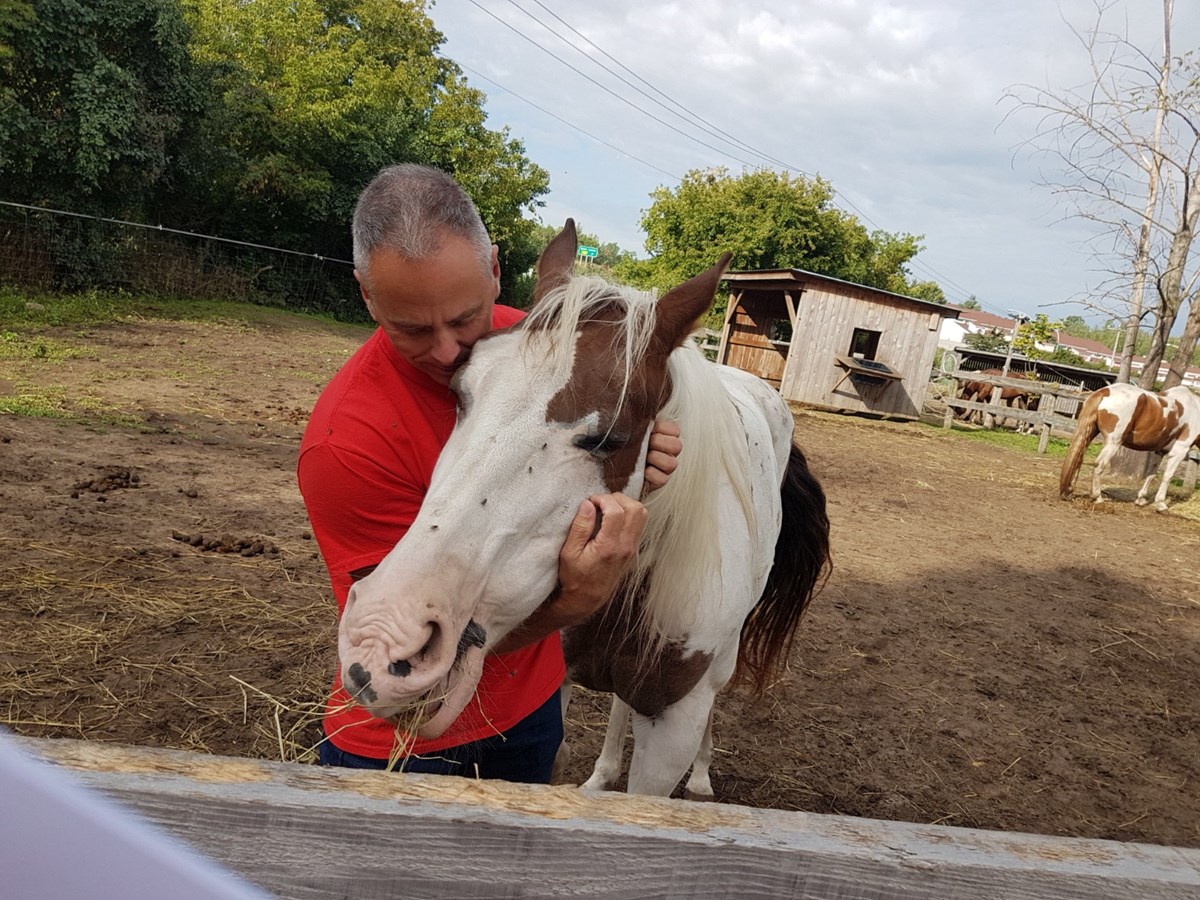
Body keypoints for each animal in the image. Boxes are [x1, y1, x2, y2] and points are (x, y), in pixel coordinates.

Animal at [337, 220, 831, 798]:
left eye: (607, 439)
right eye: (461, 394)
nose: (383, 633)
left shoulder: (674, 728)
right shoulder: (561, 683)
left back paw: (703, 778)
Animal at [1059, 382, 1200, 512]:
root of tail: (1104, 391)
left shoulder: (1159, 451)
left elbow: (1151, 474)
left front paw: (1141, 499)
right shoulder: (1179, 451)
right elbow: (1167, 476)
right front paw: (1161, 504)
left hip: (1089, 434)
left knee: (1077, 457)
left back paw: (1069, 491)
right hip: (1113, 443)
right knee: (1099, 464)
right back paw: (1097, 497)